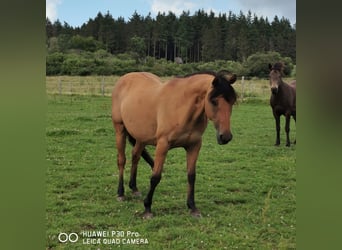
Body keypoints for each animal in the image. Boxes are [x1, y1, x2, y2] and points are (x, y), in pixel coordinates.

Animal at [112, 71, 238, 219]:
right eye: (214, 101)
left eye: (232, 101)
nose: (225, 137)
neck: (182, 107)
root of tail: (125, 78)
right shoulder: (162, 145)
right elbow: (155, 177)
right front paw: (147, 209)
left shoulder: (194, 146)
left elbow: (191, 176)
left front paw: (193, 208)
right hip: (120, 130)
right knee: (121, 160)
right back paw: (120, 193)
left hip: (141, 137)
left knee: (135, 156)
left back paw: (134, 188)